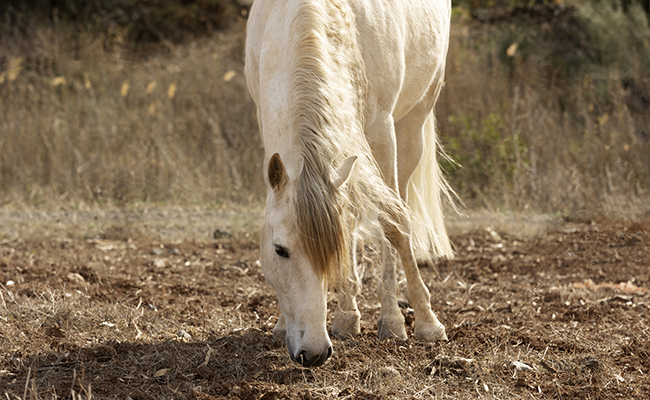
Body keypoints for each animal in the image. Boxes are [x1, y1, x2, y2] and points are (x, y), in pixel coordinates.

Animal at [246, 0, 454, 368]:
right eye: (279, 249)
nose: (314, 353)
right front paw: (285, 323)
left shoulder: (381, 129)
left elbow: (394, 222)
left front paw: (414, 322)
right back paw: (346, 314)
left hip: (413, 120)